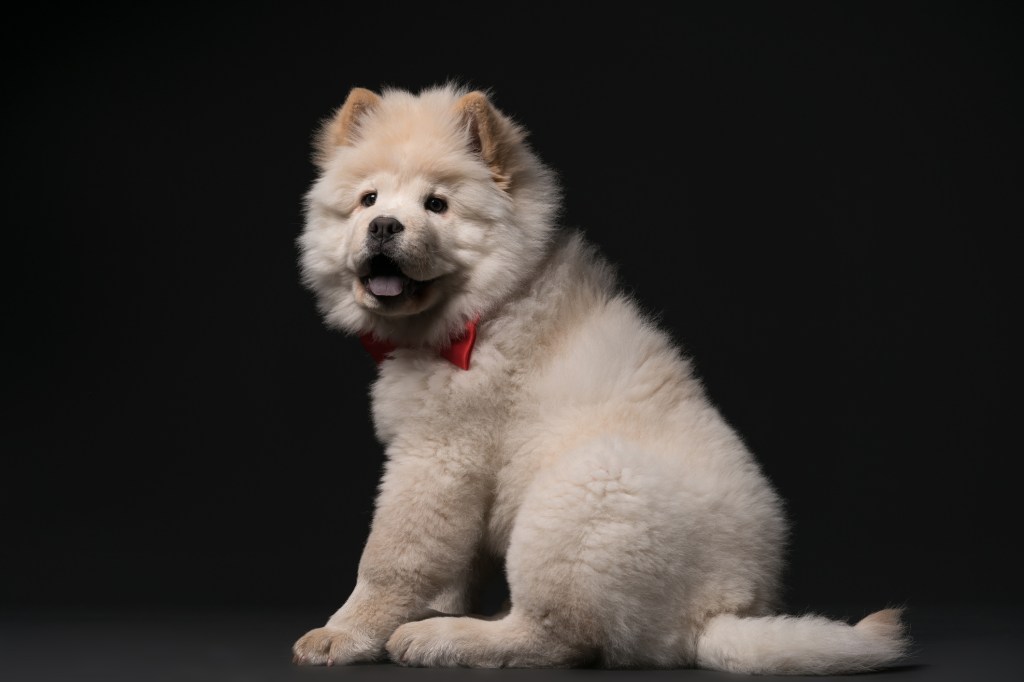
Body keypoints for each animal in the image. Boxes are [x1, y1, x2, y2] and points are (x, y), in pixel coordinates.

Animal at [292, 82, 909, 671]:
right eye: (368, 199)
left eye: (437, 205)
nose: (383, 225)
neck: (485, 309)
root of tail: (718, 614)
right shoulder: (456, 477)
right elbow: (451, 565)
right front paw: (426, 608)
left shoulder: (437, 458)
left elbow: (388, 559)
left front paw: (341, 634)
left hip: (580, 491)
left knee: (553, 637)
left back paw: (443, 638)